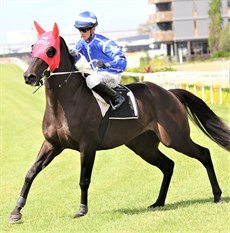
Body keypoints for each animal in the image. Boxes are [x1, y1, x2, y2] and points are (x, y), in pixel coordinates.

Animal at [8, 22, 228, 224]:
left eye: (50, 50)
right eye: (33, 47)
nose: (29, 76)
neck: (65, 103)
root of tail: (170, 92)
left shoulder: (87, 145)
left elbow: (84, 179)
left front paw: (81, 210)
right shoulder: (52, 144)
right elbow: (30, 173)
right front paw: (16, 212)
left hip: (175, 137)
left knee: (204, 153)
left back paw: (217, 195)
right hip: (143, 145)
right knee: (168, 165)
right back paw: (158, 202)